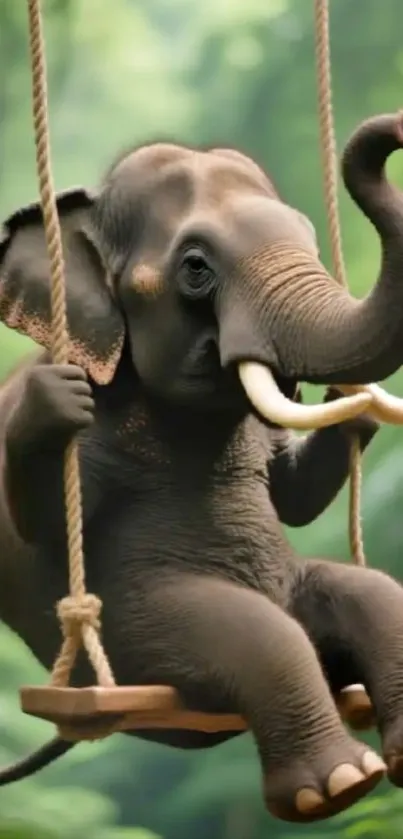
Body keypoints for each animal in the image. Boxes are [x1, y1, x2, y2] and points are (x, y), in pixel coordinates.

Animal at [1, 111, 403, 823]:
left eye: (310, 240)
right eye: (195, 268)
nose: (396, 131)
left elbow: (294, 497)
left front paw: (351, 401)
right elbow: (44, 524)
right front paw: (53, 402)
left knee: (369, 594)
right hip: (138, 642)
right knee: (258, 632)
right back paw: (339, 786)